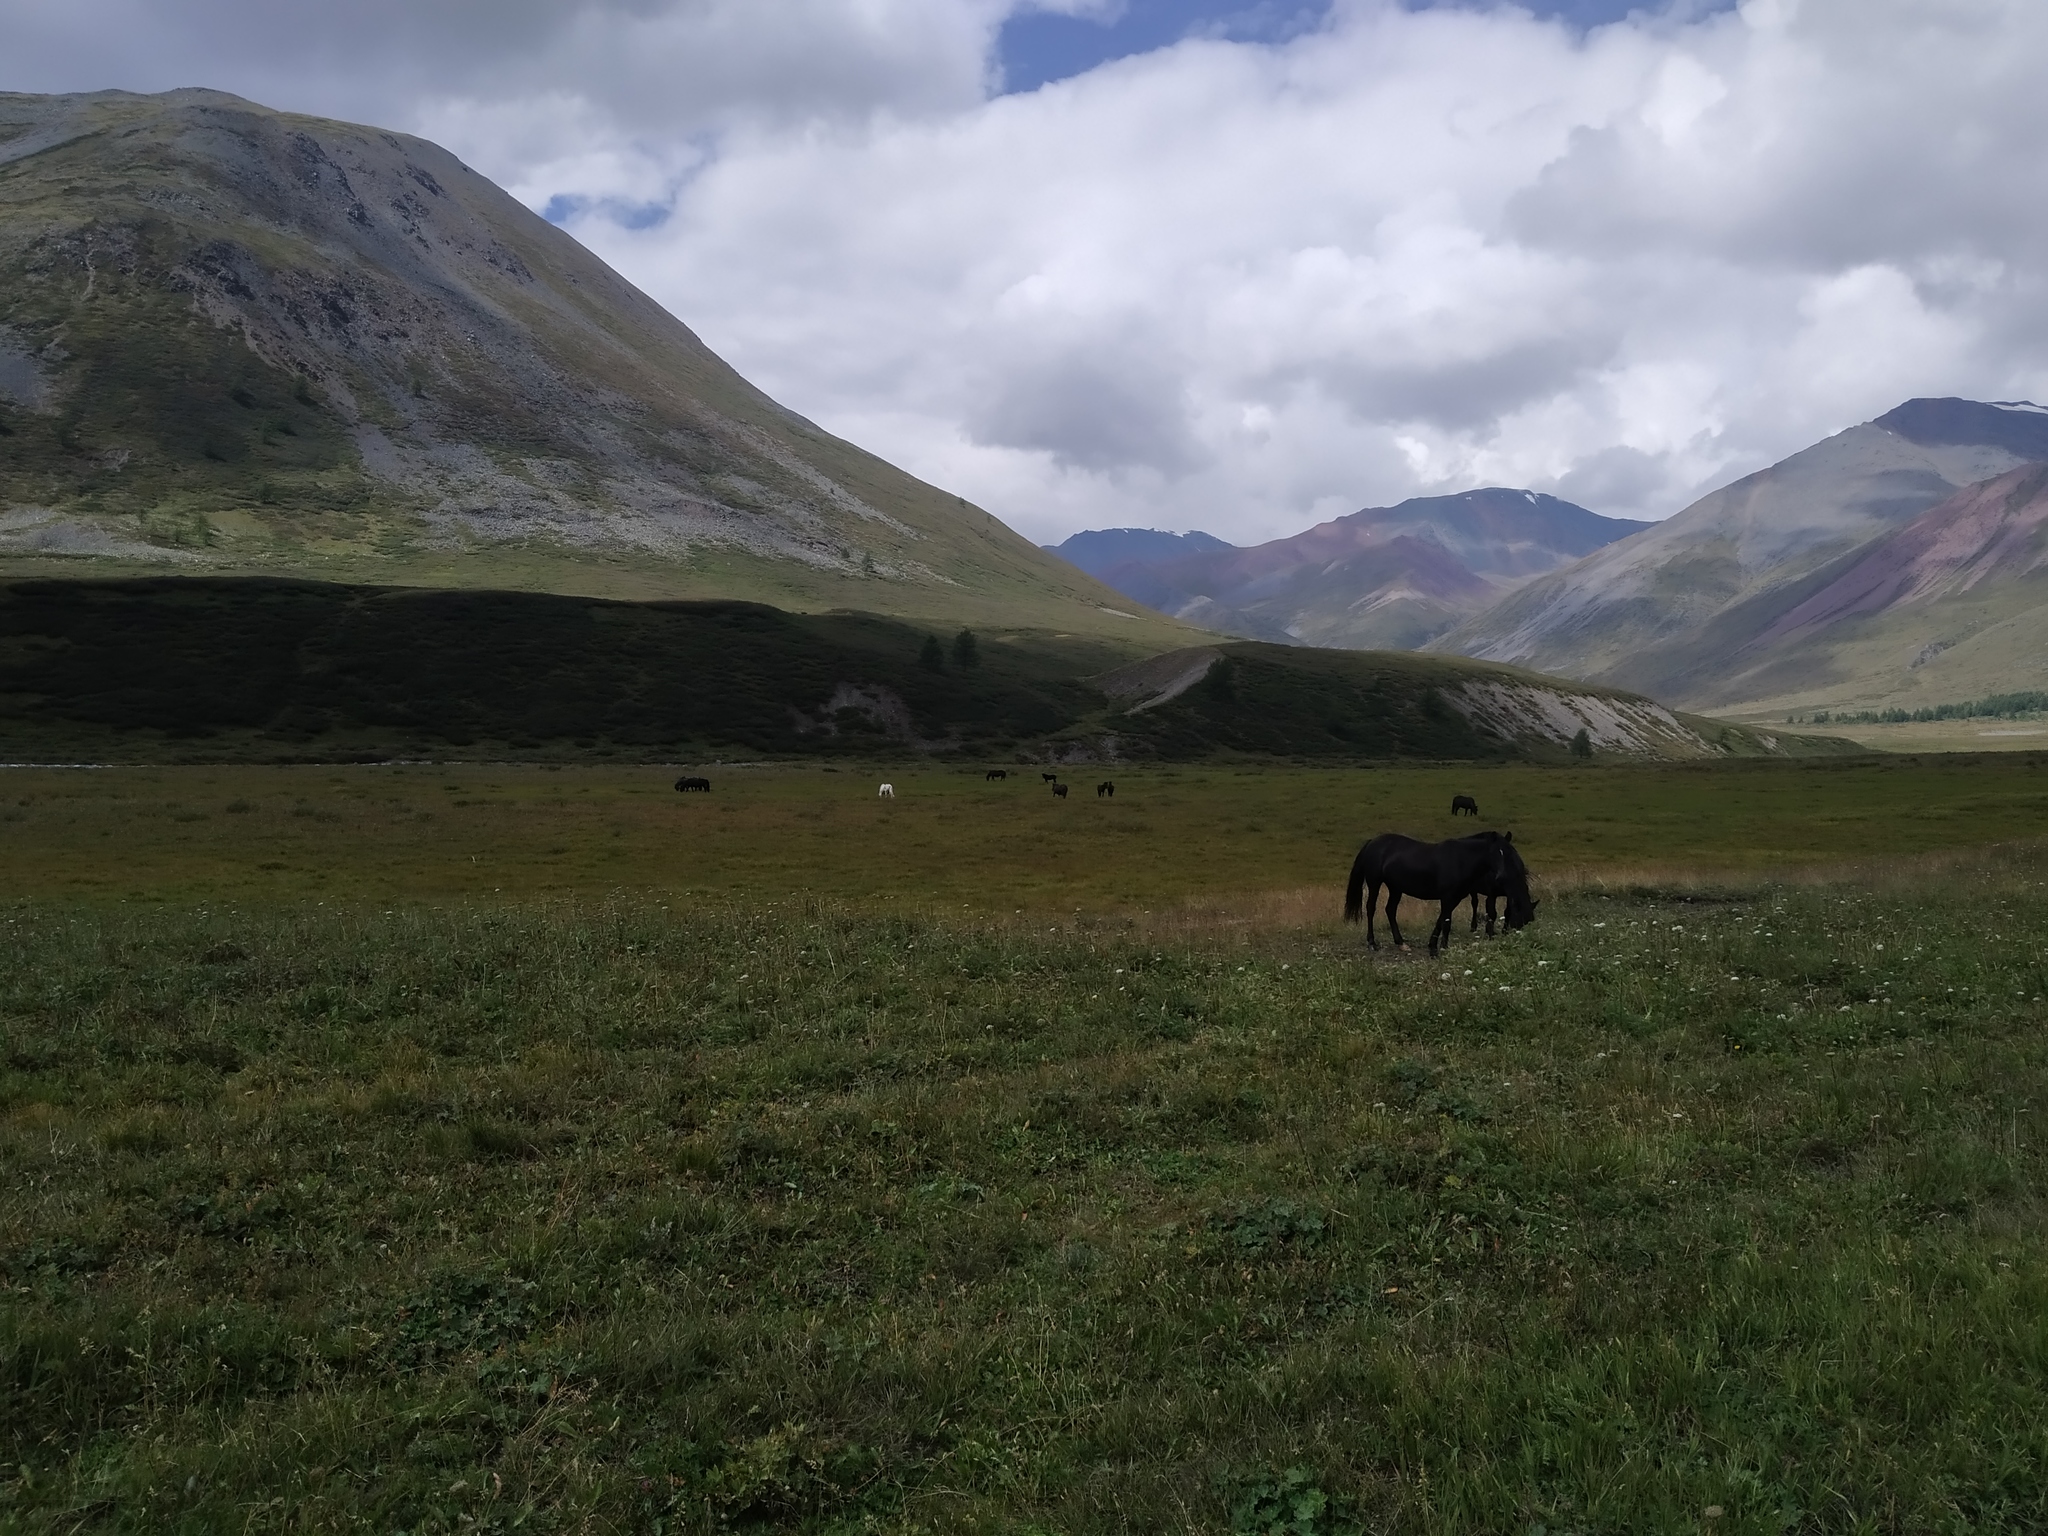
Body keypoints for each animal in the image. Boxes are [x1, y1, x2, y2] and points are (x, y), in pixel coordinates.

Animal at [1343, 835, 1540, 958]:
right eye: (1495, 853)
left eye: (1508, 852)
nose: (1502, 876)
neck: (1461, 860)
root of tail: (1372, 842)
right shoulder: (1447, 897)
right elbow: (1446, 922)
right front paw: (1439, 949)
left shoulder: (1454, 898)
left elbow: (1443, 921)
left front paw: (1437, 947)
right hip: (1375, 883)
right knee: (1371, 908)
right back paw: (1372, 943)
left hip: (1395, 888)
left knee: (1390, 910)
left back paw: (1401, 942)